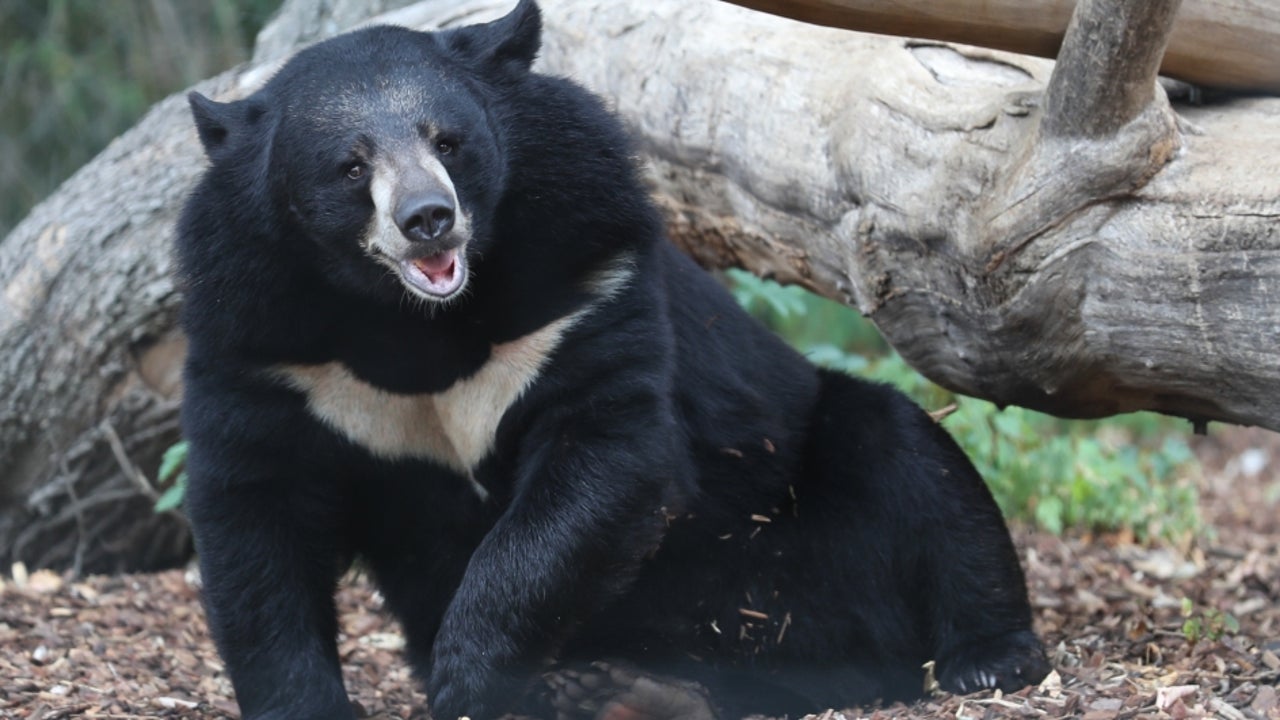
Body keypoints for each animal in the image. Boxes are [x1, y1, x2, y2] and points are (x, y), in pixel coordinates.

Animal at [175, 2, 1044, 712]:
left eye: (448, 142)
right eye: (350, 166)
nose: (428, 219)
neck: (417, 321)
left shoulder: (581, 278)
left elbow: (600, 455)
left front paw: (467, 678)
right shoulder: (264, 344)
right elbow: (258, 515)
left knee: (917, 467)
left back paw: (986, 659)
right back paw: (623, 690)